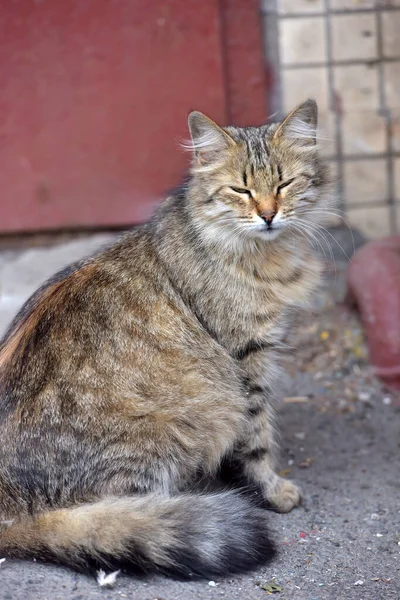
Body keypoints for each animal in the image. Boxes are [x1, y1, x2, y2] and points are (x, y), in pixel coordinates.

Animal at [0, 98, 332, 576]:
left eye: (284, 183)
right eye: (241, 190)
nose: (268, 215)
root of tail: (11, 511)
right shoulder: (245, 362)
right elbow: (257, 441)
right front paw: (272, 491)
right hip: (175, 428)